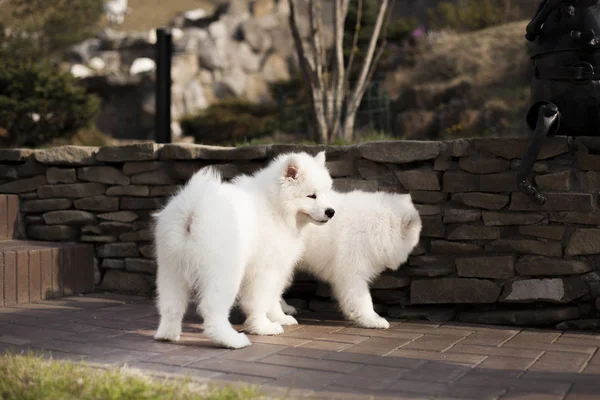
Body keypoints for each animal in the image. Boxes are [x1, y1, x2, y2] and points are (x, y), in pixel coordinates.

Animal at [152, 152, 336, 348]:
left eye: (325, 193)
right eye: (311, 196)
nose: (331, 211)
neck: (275, 205)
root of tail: (193, 210)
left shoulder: (276, 269)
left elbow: (273, 297)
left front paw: (280, 318)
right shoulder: (265, 271)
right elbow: (261, 301)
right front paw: (264, 327)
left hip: (171, 268)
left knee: (171, 305)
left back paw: (167, 335)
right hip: (223, 273)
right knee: (211, 309)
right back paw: (232, 340)